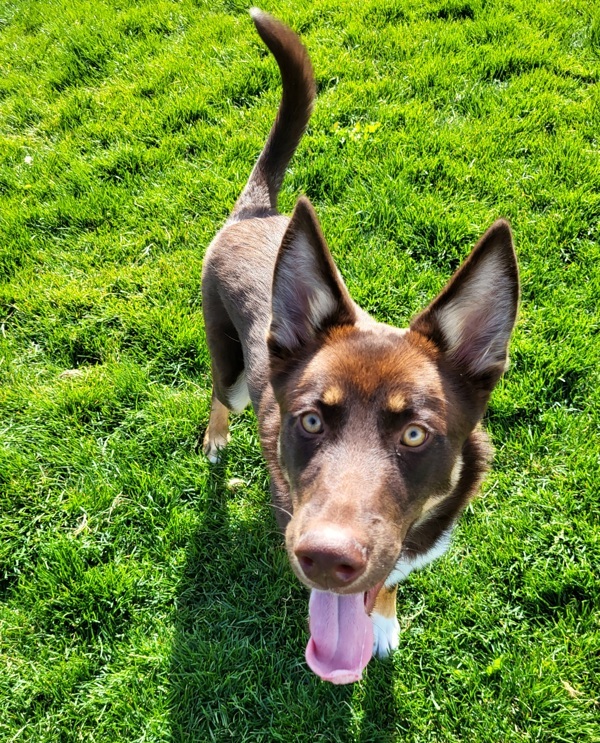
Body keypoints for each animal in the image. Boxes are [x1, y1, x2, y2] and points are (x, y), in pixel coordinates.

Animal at [202, 10, 520, 684]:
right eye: (310, 420)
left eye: (416, 434)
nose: (326, 559)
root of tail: (256, 212)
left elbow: (389, 579)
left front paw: (384, 622)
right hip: (233, 368)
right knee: (219, 394)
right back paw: (215, 440)